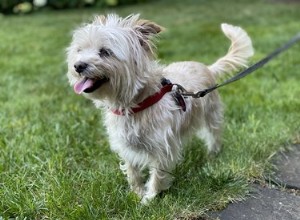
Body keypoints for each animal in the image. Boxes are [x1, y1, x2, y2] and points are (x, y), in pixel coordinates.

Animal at [66, 13, 253, 203]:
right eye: (79, 50)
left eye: (105, 52)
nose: (78, 66)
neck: (135, 103)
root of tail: (207, 68)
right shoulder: (126, 146)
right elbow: (132, 172)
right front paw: (137, 193)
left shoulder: (162, 147)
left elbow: (157, 175)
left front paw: (149, 200)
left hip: (211, 114)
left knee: (214, 134)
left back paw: (213, 154)